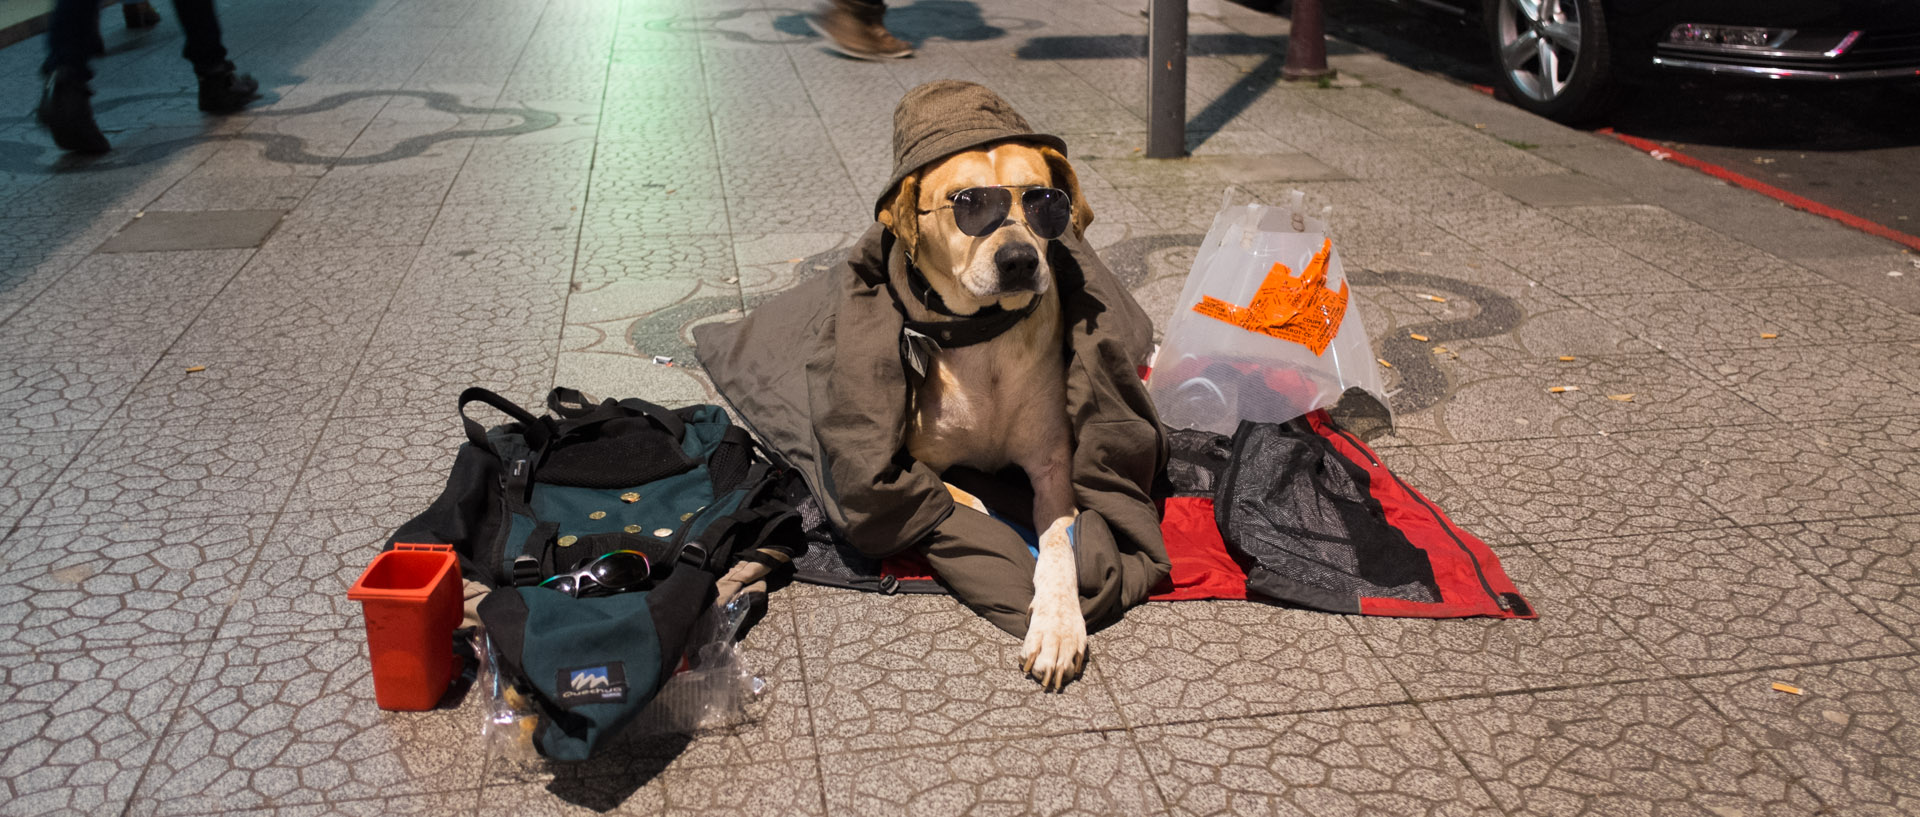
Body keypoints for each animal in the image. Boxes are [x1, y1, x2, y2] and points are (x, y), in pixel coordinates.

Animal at [875, 139, 1098, 690]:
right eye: (966, 202)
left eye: (1045, 199)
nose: (1018, 260)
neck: (987, 340)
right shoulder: (910, 461)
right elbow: (964, 500)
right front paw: (986, 515)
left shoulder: (1053, 467)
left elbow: (1058, 542)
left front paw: (1057, 628)